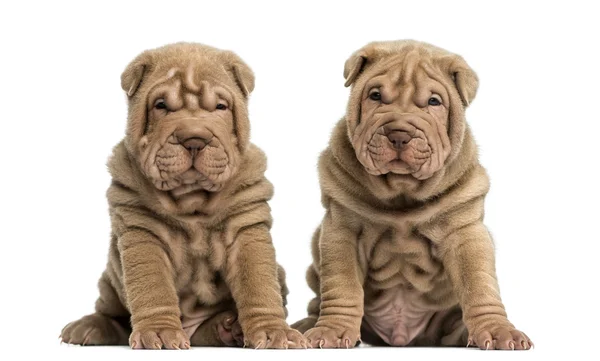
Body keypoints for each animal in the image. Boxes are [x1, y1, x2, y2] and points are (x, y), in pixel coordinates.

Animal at [60, 42, 308, 348]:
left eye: (220, 107)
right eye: (161, 105)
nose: (194, 139)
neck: (192, 197)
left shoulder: (246, 227)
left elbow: (259, 285)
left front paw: (275, 332)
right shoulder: (143, 232)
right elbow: (152, 287)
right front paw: (159, 333)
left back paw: (228, 327)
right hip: (110, 278)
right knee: (110, 311)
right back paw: (88, 327)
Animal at [292, 40, 532, 350]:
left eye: (434, 102)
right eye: (375, 95)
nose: (399, 134)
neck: (401, 191)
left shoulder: (465, 232)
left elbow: (479, 285)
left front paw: (498, 330)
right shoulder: (342, 231)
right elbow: (342, 285)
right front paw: (332, 329)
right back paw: (304, 326)